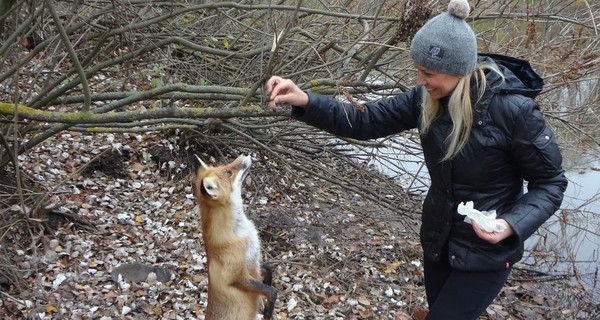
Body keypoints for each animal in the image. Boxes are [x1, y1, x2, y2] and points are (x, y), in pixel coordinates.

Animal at [192, 154, 276, 318]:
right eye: (229, 172)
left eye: (224, 166)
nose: (245, 155)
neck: (238, 233)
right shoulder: (238, 277)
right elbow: (271, 291)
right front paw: (268, 311)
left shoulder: (253, 259)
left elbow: (268, 269)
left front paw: (268, 280)